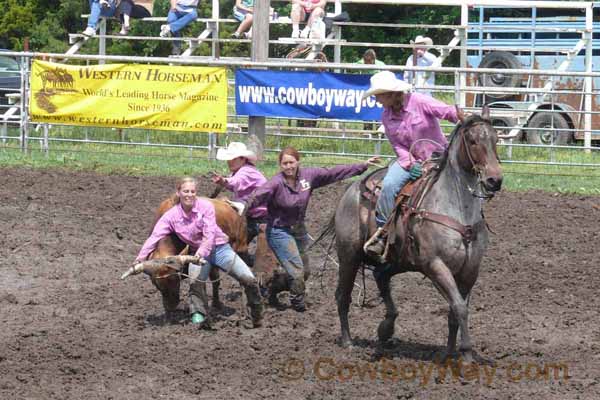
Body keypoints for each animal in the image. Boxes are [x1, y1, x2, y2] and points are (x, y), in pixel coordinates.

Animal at [332, 107, 502, 362]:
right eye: (472, 141)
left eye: (495, 139)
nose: (495, 180)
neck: (458, 210)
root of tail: (351, 190)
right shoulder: (435, 265)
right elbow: (460, 308)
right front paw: (466, 354)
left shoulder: (470, 270)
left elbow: (455, 310)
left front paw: (449, 353)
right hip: (349, 257)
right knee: (343, 296)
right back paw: (348, 341)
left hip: (397, 260)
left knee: (381, 277)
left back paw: (386, 330)